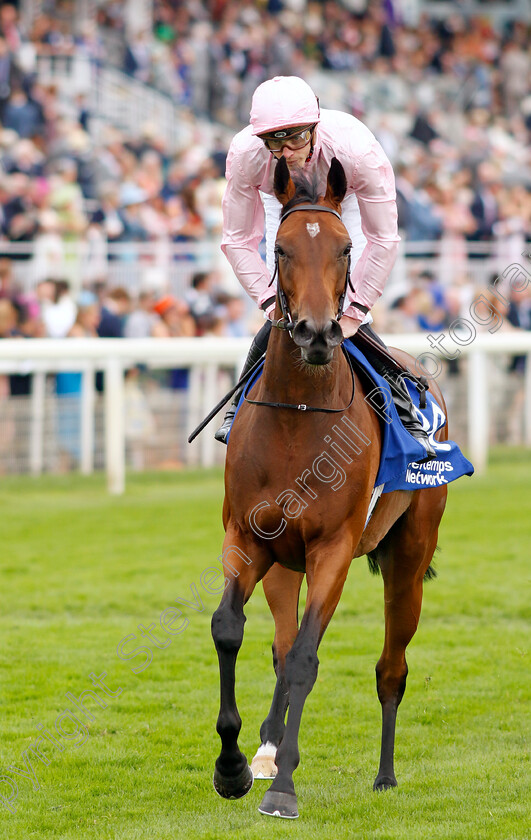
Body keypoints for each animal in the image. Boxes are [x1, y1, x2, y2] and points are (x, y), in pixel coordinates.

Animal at [212, 154, 448, 816]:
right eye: (281, 247)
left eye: (344, 248)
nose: (317, 334)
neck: (299, 414)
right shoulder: (248, 538)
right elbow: (231, 631)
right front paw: (234, 767)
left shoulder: (333, 549)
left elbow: (305, 661)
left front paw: (284, 789)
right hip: (283, 563)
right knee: (280, 640)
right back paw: (266, 750)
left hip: (407, 557)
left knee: (390, 667)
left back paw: (385, 774)